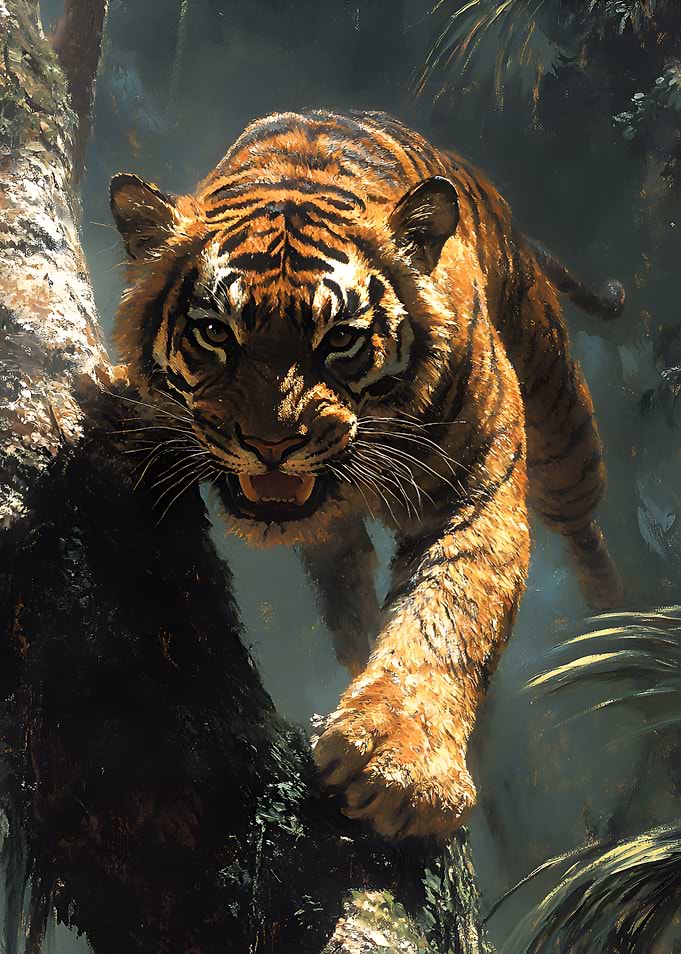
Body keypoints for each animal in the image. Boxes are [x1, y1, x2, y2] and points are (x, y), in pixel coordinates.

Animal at [110, 109, 624, 840]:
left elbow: (448, 615)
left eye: (340, 339)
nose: (270, 444)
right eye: (215, 334)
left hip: (559, 421)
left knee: (580, 525)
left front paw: (400, 768)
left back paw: (619, 625)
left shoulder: (478, 492)